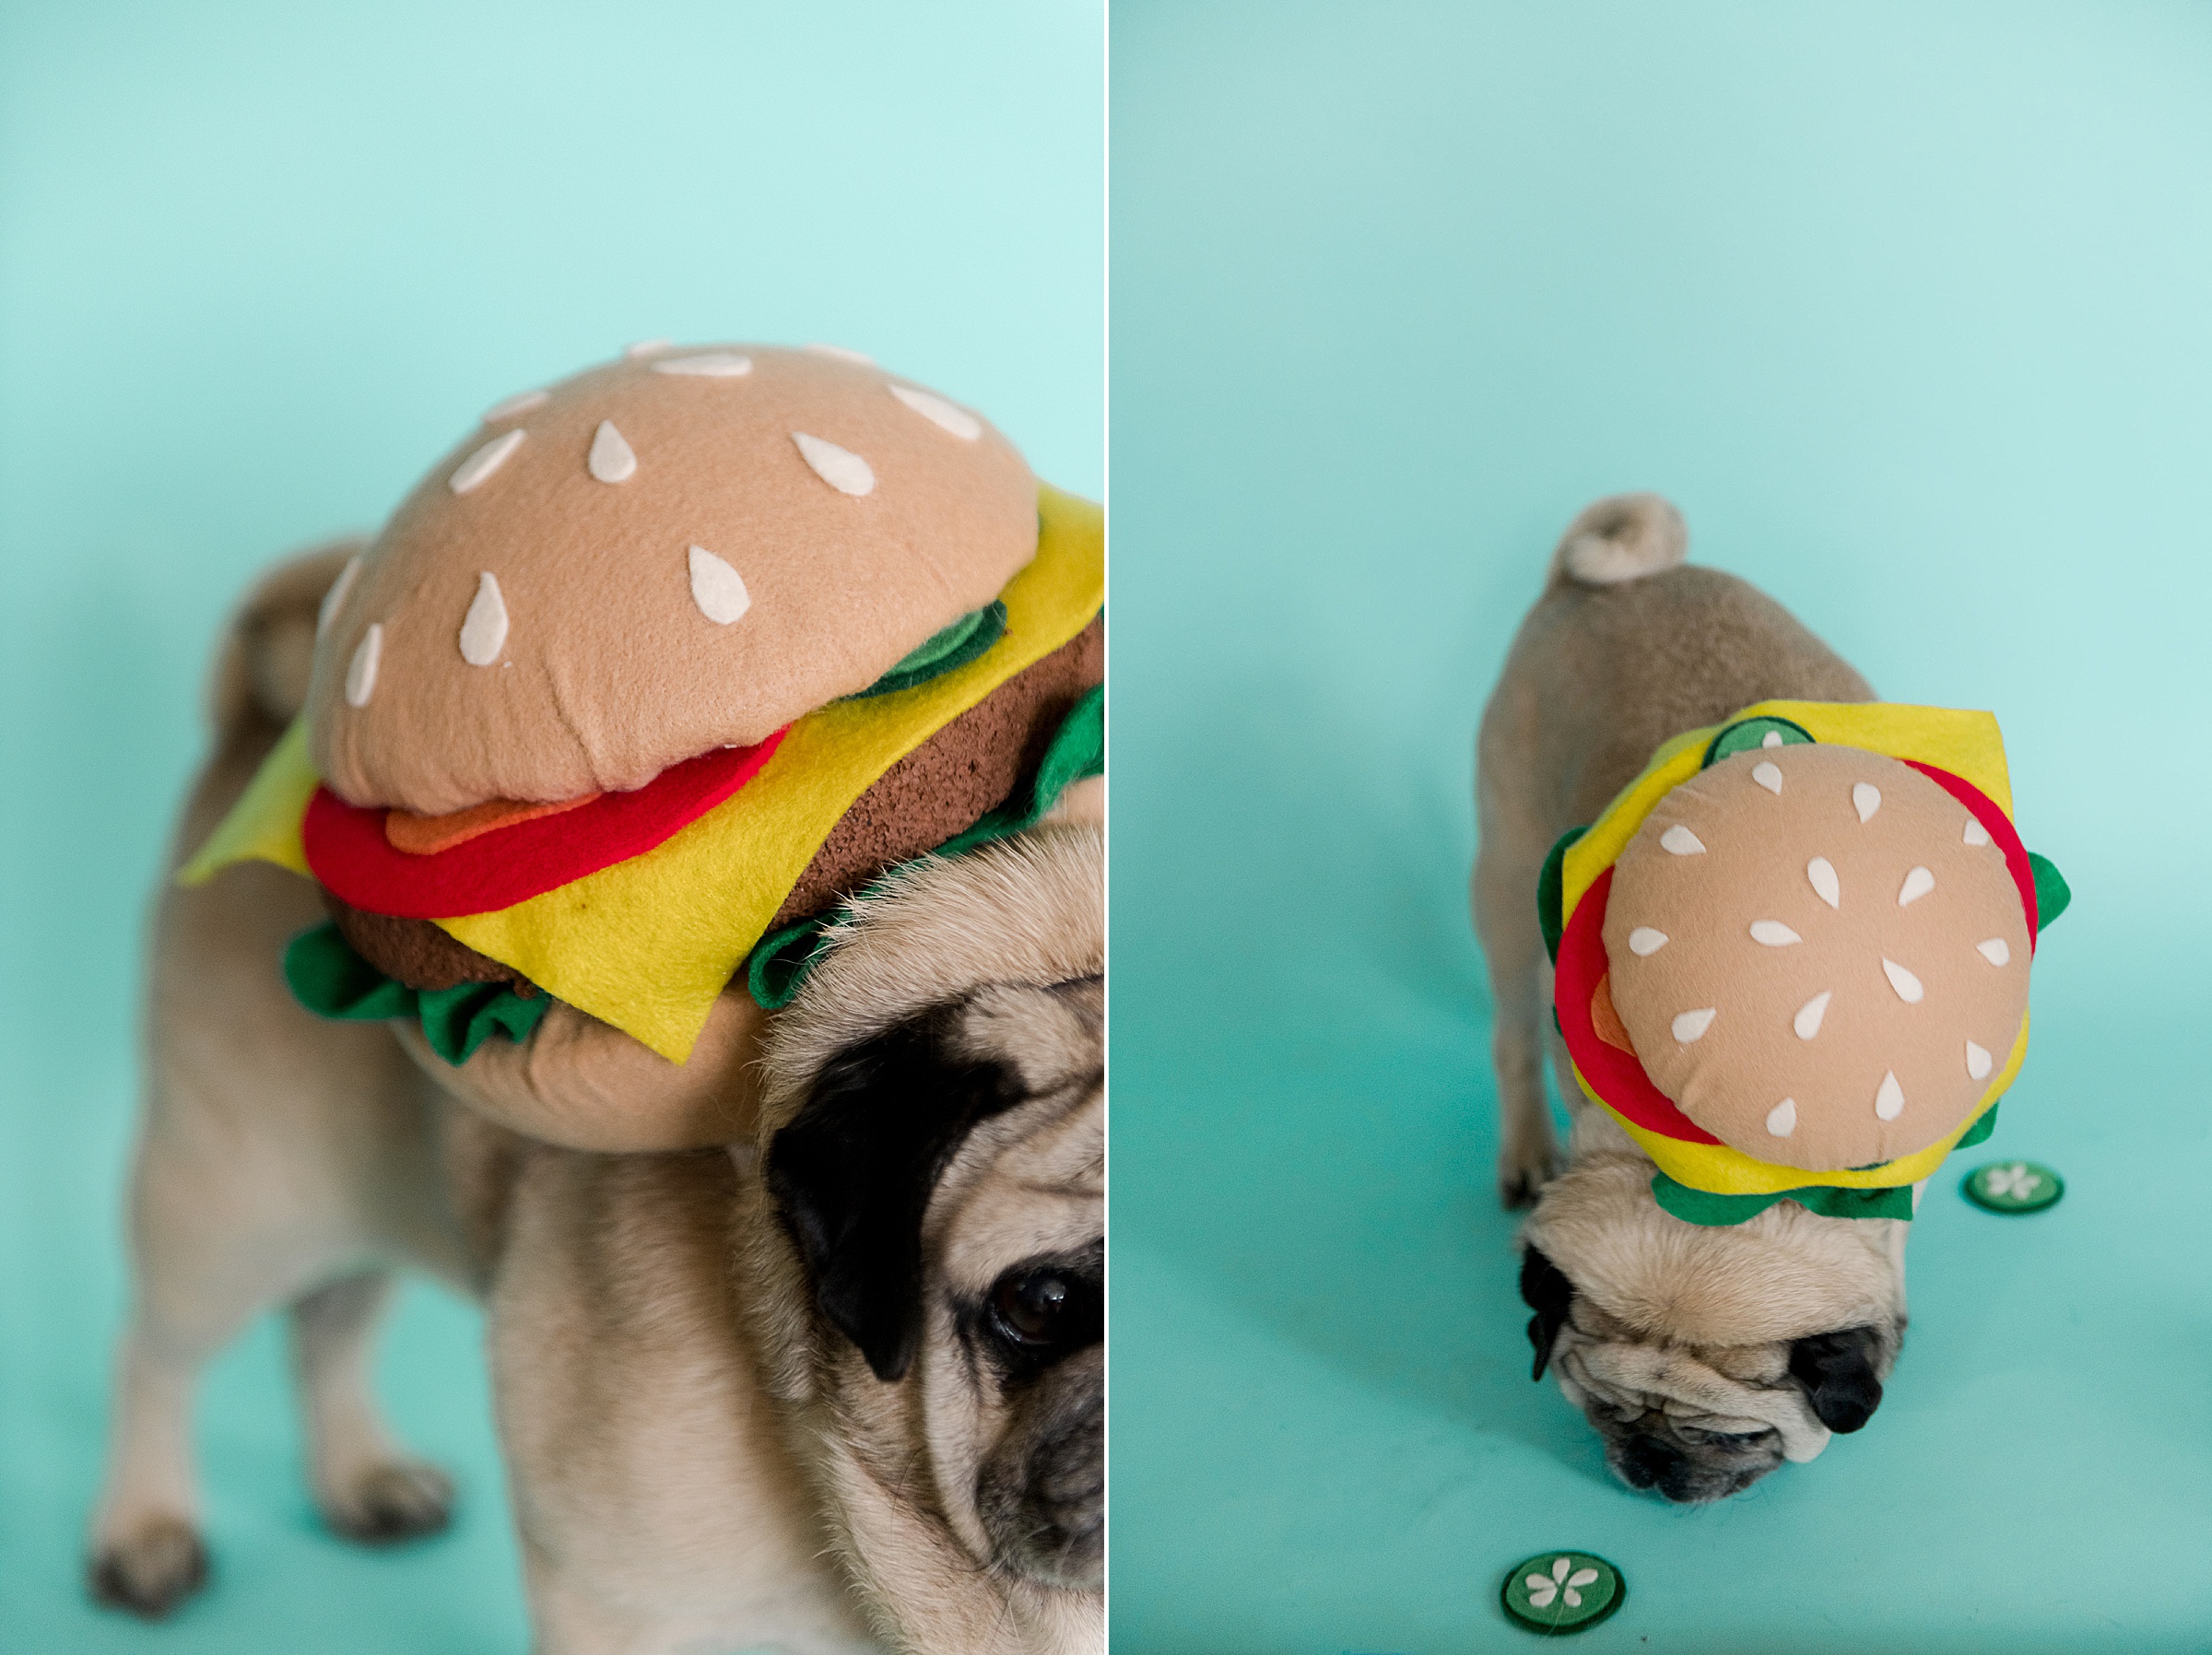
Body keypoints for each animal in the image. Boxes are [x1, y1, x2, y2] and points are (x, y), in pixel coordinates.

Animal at [90, 548, 1106, 1646]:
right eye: (1042, 1303)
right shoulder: (616, 1592)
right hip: (235, 1205)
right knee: (156, 1351)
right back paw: (143, 1529)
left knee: (331, 1319)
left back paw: (359, 1475)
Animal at [1468, 491, 1902, 1496]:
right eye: (1601, 1406)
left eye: (1741, 1438)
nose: (1654, 1465)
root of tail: (1593, 581)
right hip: (1506, 873)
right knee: (1511, 1034)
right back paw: (1525, 1150)